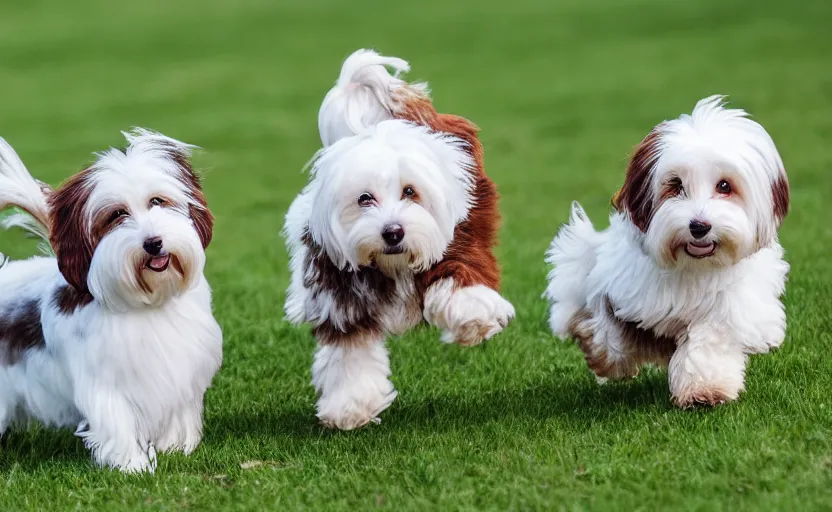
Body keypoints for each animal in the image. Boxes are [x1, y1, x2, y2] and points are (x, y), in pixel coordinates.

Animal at [286, 50, 512, 430]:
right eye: (364, 199)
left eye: (410, 192)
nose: (393, 232)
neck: (393, 264)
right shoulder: (340, 293)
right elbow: (351, 353)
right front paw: (351, 407)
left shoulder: (460, 244)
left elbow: (462, 280)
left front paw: (472, 317)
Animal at [544, 95, 788, 408]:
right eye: (676, 185)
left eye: (724, 185)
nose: (699, 226)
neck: (693, 266)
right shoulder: (621, 286)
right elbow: (607, 325)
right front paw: (601, 351)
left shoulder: (734, 306)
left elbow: (711, 338)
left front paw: (704, 389)